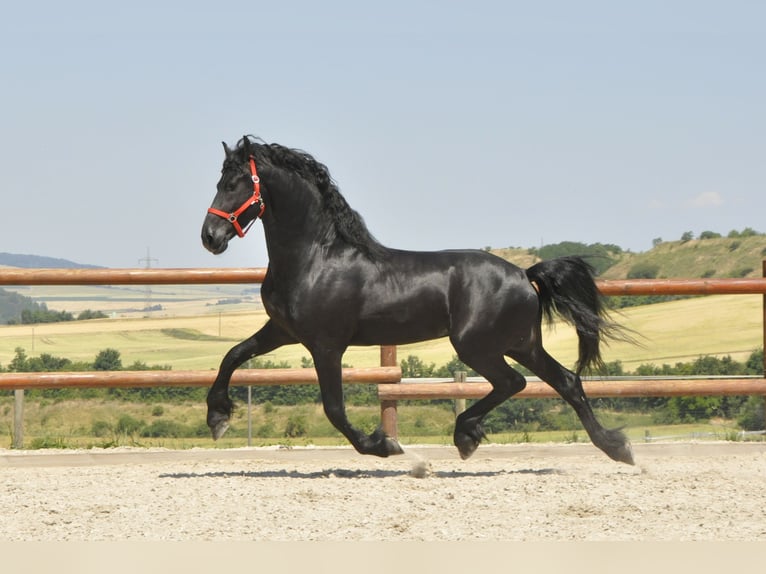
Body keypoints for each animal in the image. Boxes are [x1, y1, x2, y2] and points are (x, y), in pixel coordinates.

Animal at [200, 136, 636, 468]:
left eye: (238, 182)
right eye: (220, 180)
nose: (210, 236)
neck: (315, 259)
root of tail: (523, 275)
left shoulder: (326, 346)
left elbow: (334, 409)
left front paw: (384, 446)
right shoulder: (281, 331)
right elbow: (232, 356)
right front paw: (218, 417)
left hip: (477, 345)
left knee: (514, 382)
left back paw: (466, 435)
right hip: (520, 343)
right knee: (566, 381)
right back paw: (616, 447)